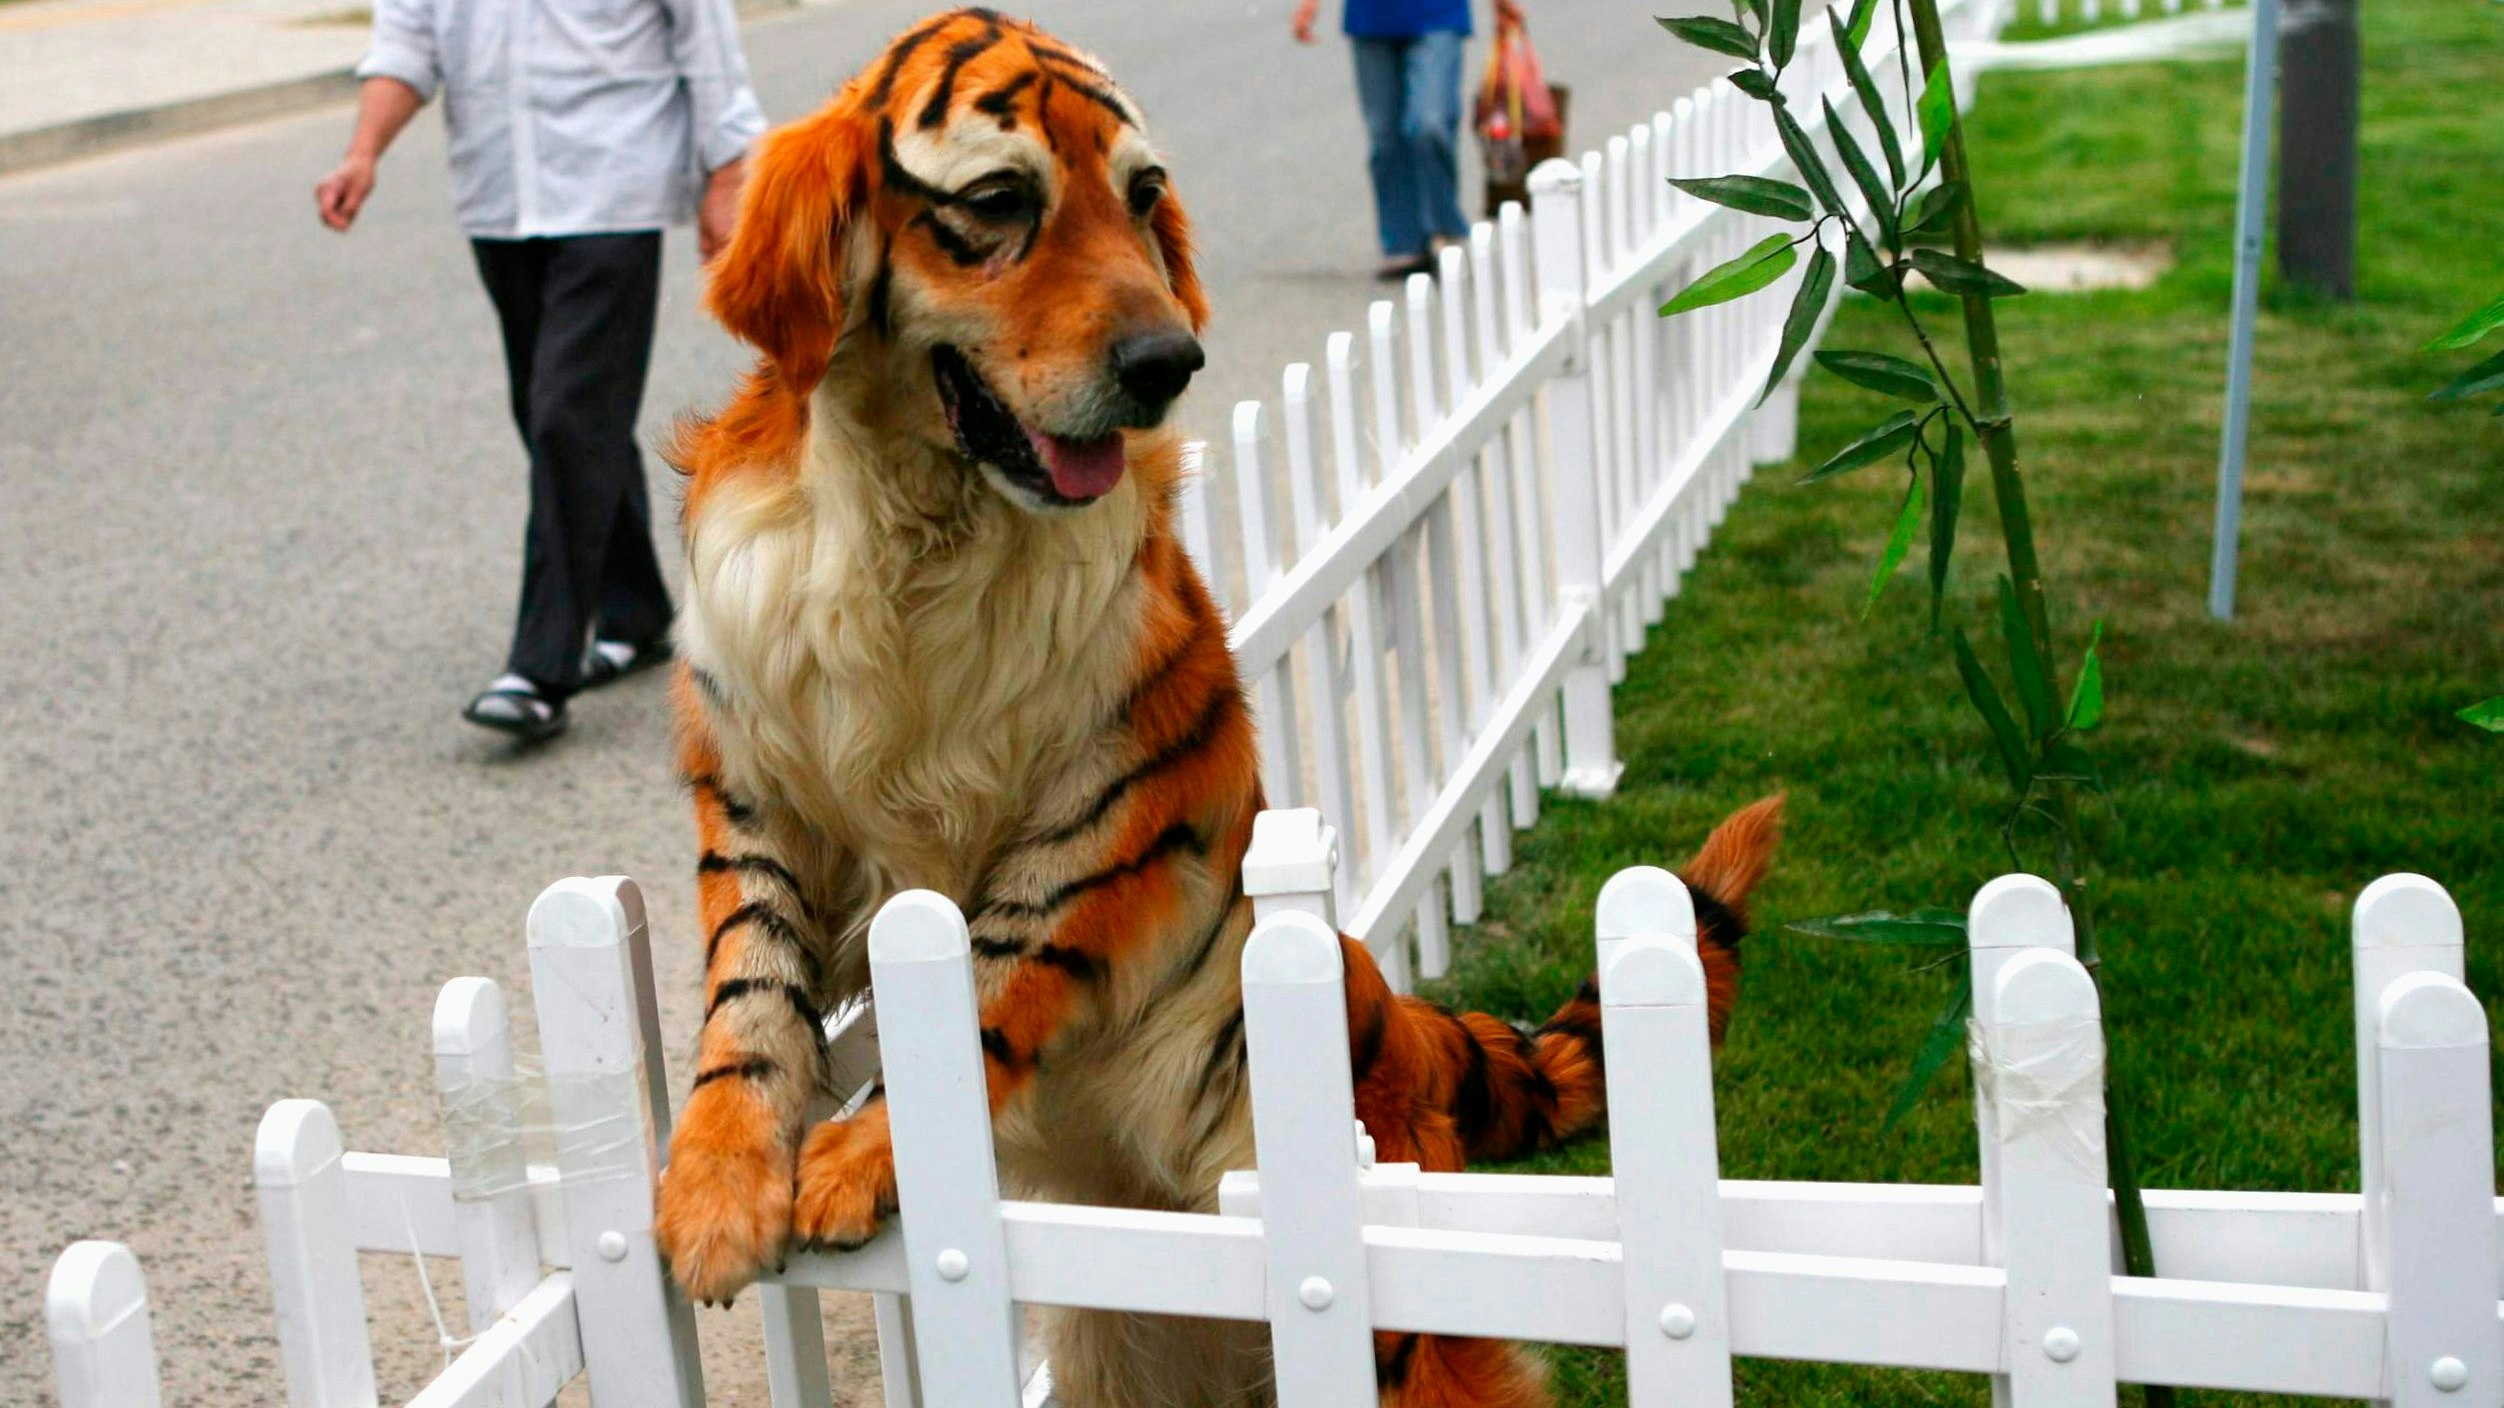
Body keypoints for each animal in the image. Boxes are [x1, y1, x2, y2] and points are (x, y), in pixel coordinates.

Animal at [648, 10, 1785, 1405]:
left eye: (1142, 195)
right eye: (997, 201)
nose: (1167, 361)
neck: (921, 534)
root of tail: (1392, 1015)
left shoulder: (1118, 785)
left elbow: (994, 963)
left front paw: (861, 1155)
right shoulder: (757, 779)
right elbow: (747, 988)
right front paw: (712, 1186)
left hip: (1399, 1336)